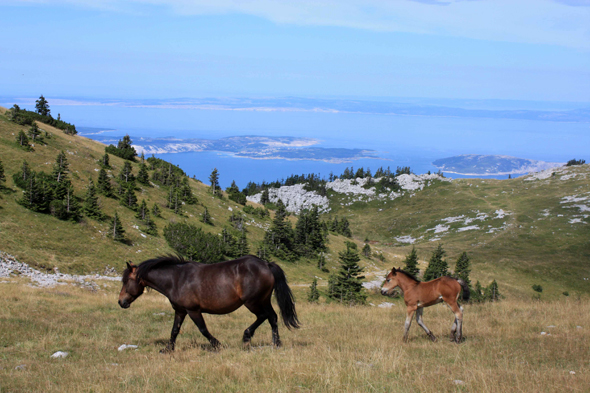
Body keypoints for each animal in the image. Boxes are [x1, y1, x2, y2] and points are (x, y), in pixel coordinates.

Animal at [118, 256, 300, 350]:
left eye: (126, 281)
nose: (121, 302)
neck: (176, 279)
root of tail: (266, 264)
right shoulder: (180, 311)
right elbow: (174, 330)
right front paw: (168, 349)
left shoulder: (193, 310)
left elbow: (203, 329)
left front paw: (217, 344)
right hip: (264, 300)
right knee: (273, 317)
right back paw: (276, 343)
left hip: (253, 302)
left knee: (263, 316)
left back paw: (246, 336)